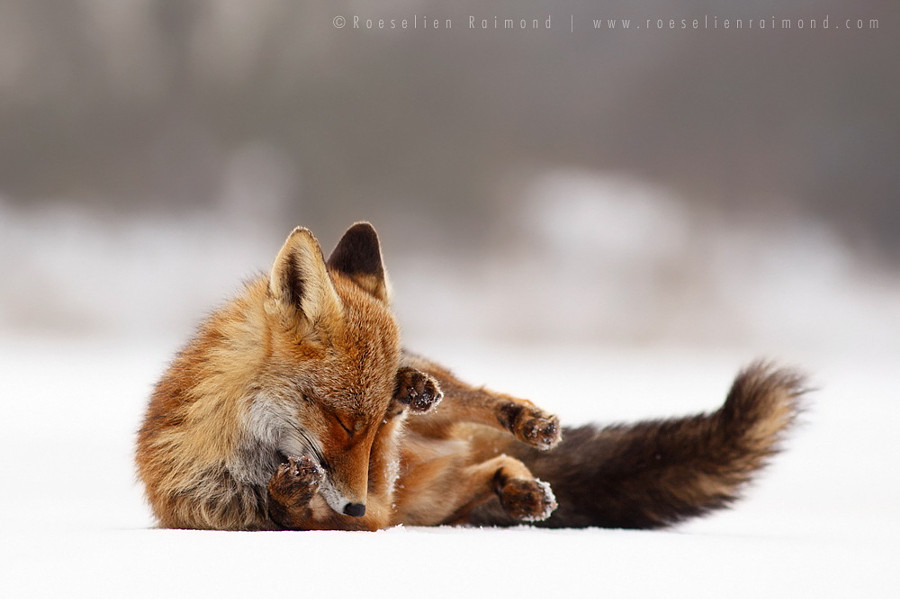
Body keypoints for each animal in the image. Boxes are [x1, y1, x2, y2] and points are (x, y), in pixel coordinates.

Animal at [135, 224, 808, 528]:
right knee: (486, 467)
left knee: (475, 406)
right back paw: (516, 488)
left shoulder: (376, 499)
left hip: (442, 433)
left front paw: (402, 394)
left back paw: (505, 418)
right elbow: (294, 510)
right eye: (341, 421)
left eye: (360, 425)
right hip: (427, 505)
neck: (246, 449)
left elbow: (390, 440)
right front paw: (291, 491)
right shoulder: (354, 518)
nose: (352, 503)